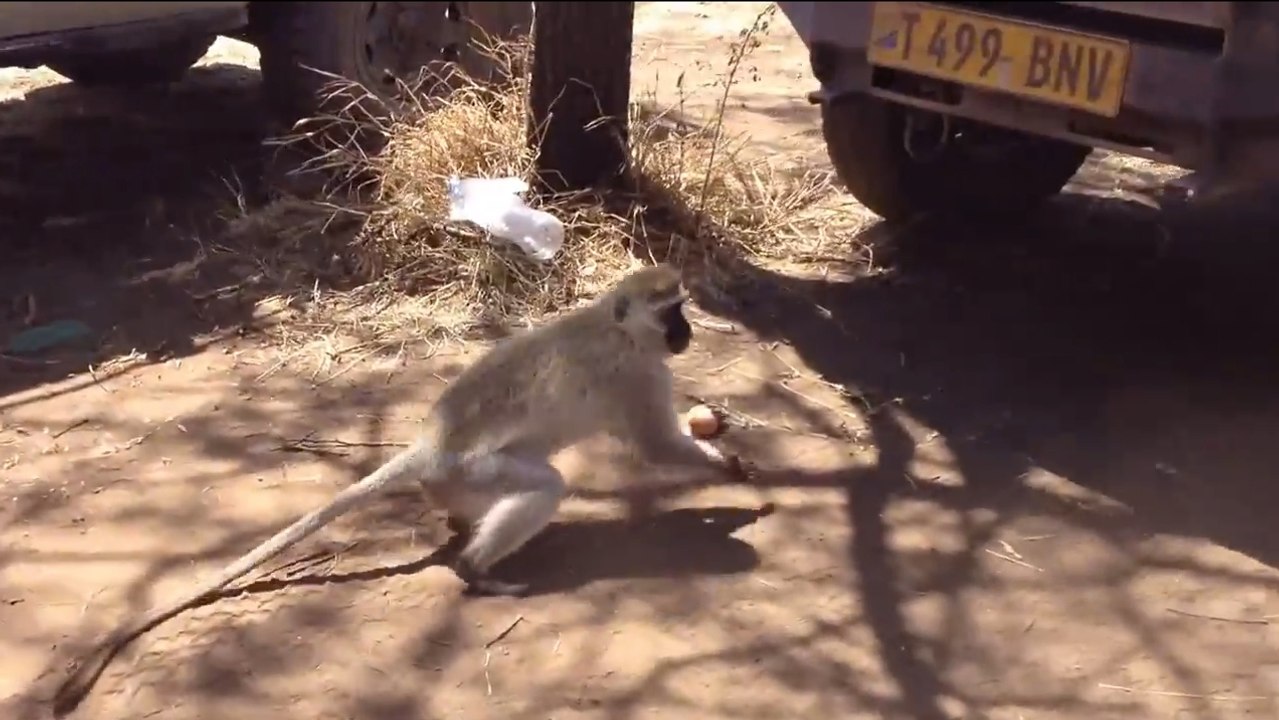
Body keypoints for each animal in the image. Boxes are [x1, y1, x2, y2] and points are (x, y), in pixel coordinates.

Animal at [51, 263, 749, 717]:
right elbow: (658, 445)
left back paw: (465, 537)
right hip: (471, 469)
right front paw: (734, 472)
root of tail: (429, 446)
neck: (617, 327)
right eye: (671, 313)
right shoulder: (635, 374)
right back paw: (477, 569)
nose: (687, 334)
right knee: (544, 487)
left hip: (457, 482)